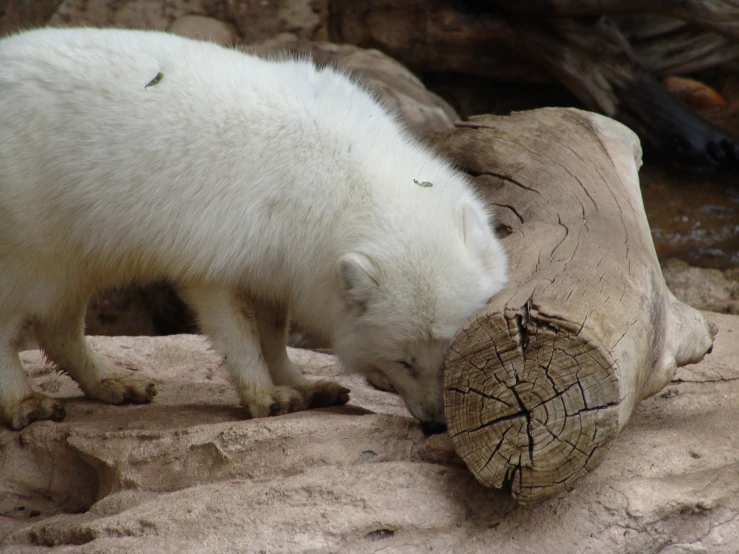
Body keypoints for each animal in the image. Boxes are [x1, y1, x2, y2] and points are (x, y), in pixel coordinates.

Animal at [0, 25, 508, 432]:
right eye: (405, 361)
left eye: (452, 353)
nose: (438, 423)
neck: (341, 178)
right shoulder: (212, 264)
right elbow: (241, 338)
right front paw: (267, 397)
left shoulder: (277, 265)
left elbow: (273, 336)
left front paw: (301, 384)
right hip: (29, 259)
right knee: (12, 331)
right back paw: (23, 403)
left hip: (74, 262)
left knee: (57, 331)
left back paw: (110, 382)